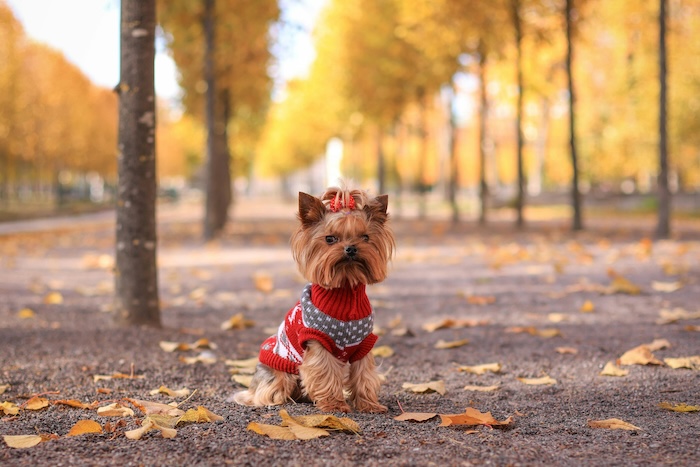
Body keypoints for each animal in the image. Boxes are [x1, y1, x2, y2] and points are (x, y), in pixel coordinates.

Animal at [234, 186, 394, 414]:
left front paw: (369, 404)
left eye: (365, 237)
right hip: (279, 372)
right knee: (269, 390)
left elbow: (364, 374)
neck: (345, 291)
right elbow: (325, 373)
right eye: (330, 239)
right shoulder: (318, 342)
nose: (351, 248)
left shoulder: (363, 343)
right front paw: (335, 404)